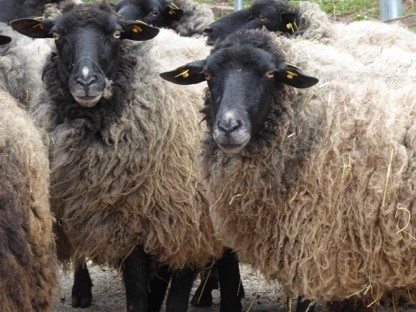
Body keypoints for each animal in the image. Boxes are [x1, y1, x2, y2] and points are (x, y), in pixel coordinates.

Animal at [9, 2, 242, 312]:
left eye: (117, 34)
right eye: (57, 35)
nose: (86, 81)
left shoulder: (188, 226)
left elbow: (177, 297)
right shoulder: (127, 227)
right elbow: (137, 295)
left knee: (227, 260)